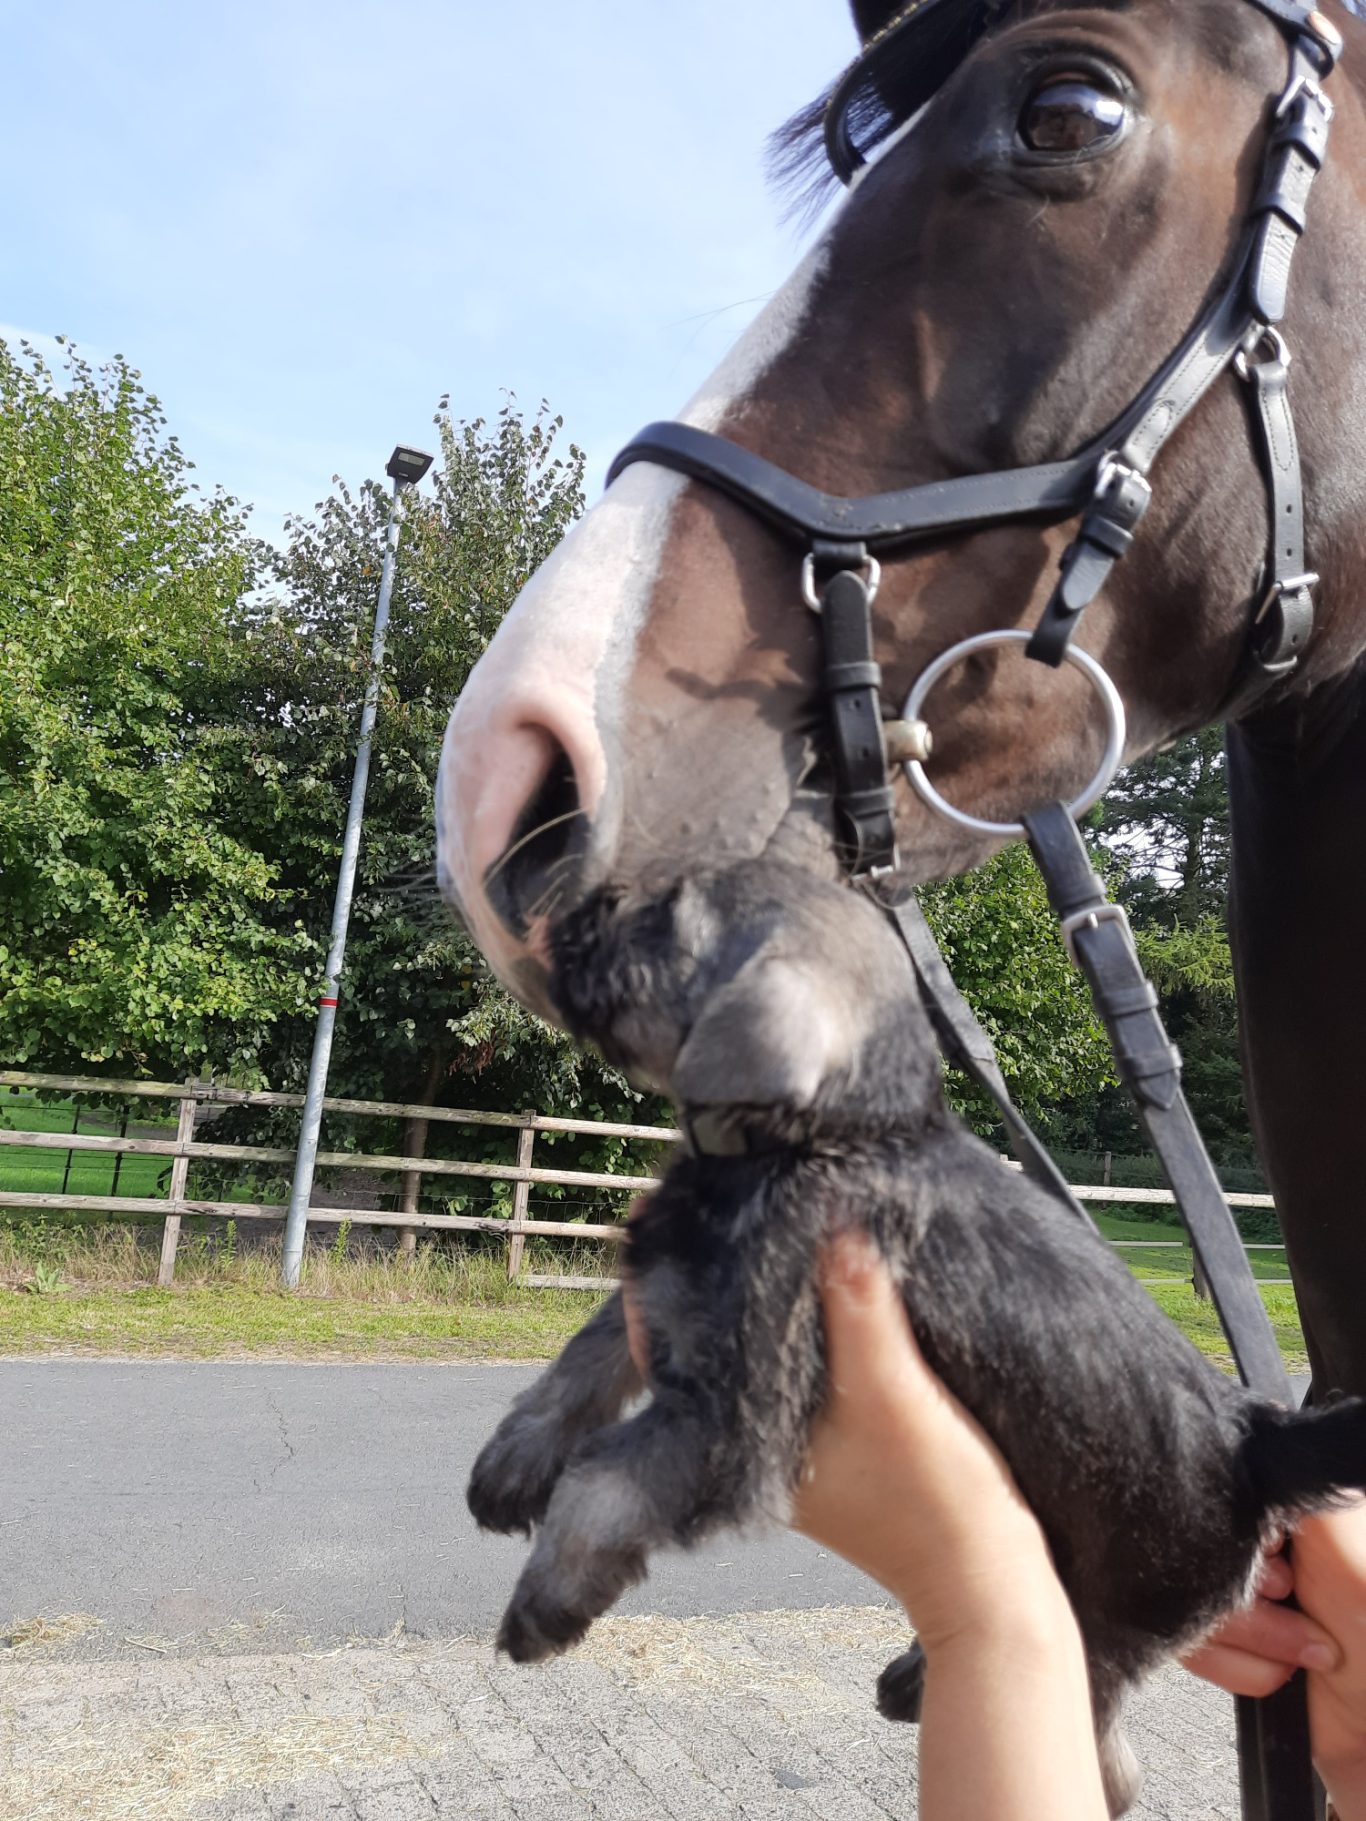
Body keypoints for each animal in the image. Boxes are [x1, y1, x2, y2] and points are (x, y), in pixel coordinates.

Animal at [467, 861, 1366, 1813]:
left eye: (664, 913)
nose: (536, 899)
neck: (821, 1134)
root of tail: (1255, 1438)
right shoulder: (668, 1293)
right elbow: (583, 1361)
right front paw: (511, 1464)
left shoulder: (736, 1414)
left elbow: (606, 1478)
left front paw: (546, 1598)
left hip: (1110, 1622)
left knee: (1105, 1756)